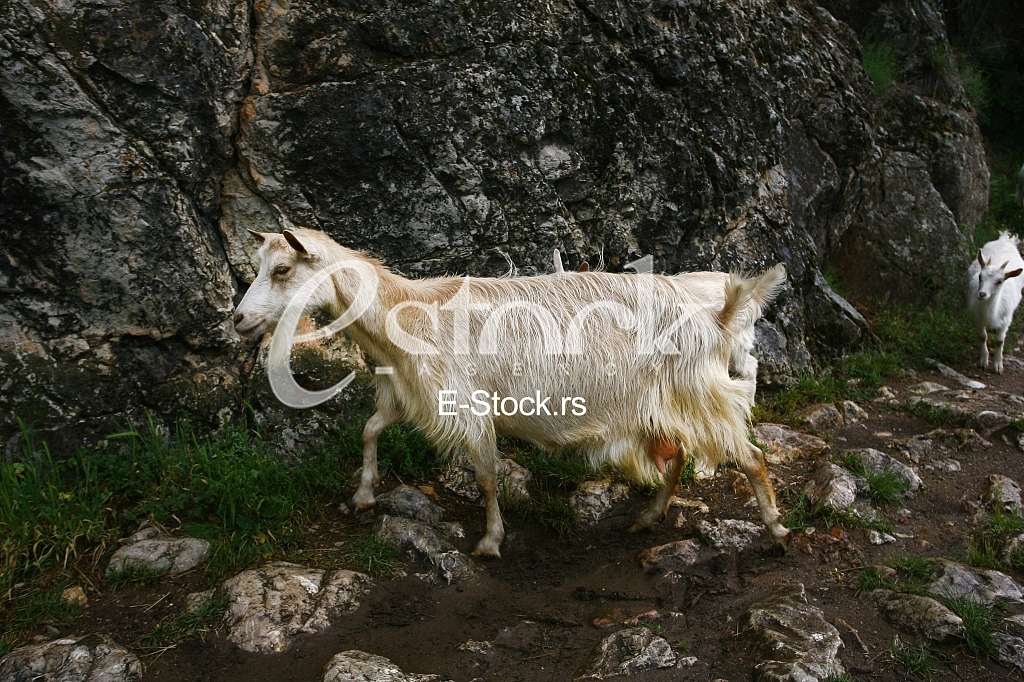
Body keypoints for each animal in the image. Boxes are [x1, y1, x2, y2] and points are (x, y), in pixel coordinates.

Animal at [234, 229, 790, 557]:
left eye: (282, 270)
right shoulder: (411, 396)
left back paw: (778, 532)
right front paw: (365, 494)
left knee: (751, 456)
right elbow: (370, 431)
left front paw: (490, 540)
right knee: (676, 457)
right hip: (660, 407)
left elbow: (485, 476)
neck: (406, 313)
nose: (237, 319)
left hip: (698, 393)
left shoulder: (467, 403)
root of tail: (715, 319)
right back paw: (650, 518)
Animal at [968, 232, 1024, 374]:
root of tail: (1005, 240)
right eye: (980, 277)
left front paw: (998, 366)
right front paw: (983, 361)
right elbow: (982, 336)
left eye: (999, 281)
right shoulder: (978, 317)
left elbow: (999, 341)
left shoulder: (1006, 320)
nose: (982, 294)